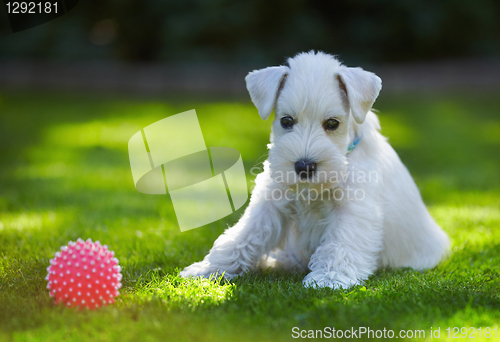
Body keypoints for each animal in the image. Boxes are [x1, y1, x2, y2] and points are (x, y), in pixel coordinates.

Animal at [180, 50, 450, 288]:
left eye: (332, 123)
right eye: (286, 120)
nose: (304, 166)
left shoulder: (352, 210)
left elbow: (340, 244)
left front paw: (329, 279)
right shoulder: (269, 203)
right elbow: (242, 236)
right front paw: (208, 269)